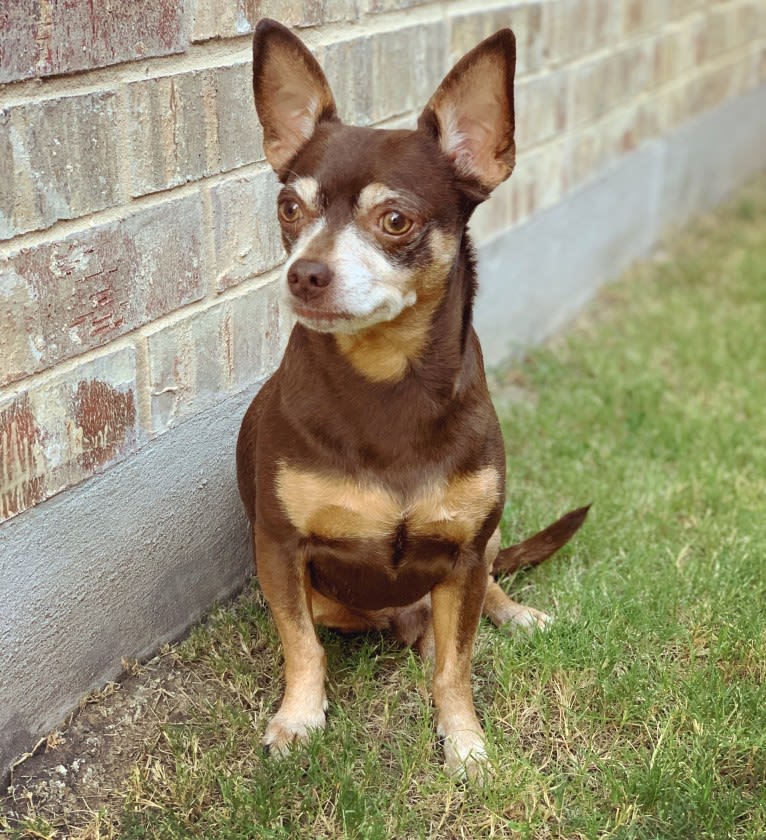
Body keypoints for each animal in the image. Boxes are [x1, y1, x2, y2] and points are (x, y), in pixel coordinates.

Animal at [237, 19, 592, 776]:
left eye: (395, 220)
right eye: (289, 208)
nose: (303, 273)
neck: (386, 384)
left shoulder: (463, 553)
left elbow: (455, 667)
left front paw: (464, 741)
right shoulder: (279, 550)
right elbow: (301, 647)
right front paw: (298, 719)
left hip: (479, 552)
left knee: (480, 595)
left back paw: (515, 613)